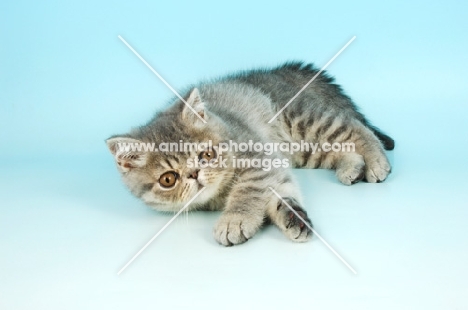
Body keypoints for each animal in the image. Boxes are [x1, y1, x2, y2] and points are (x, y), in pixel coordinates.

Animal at [107, 61, 394, 247]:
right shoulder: (276, 166)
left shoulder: (259, 157)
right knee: (337, 149)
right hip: (304, 150)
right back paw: (352, 167)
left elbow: (248, 190)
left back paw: (376, 161)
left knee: (354, 127)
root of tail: (276, 72)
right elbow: (282, 192)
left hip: (305, 120)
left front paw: (235, 219)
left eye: (206, 155)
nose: (195, 174)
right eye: (168, 179)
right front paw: (292, 217)